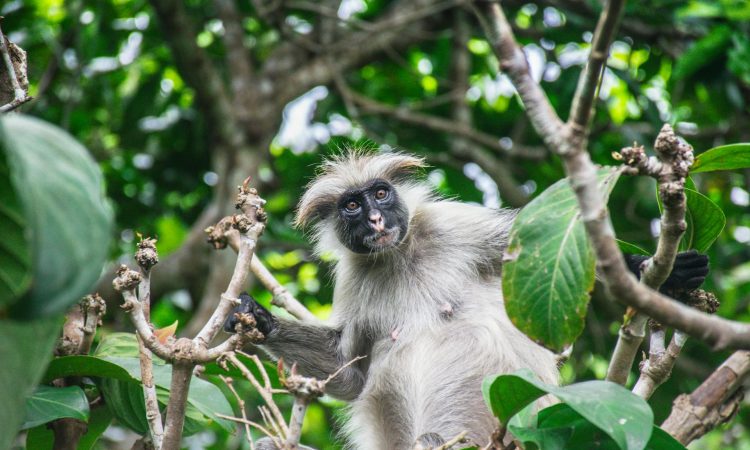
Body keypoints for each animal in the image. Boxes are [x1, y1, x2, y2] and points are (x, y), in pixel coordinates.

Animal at [225, 151, 709, 449]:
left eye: (380, 194)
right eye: (352, 206)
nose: (376, 218)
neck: (399, 255)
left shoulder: (454, 225)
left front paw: (657, 275)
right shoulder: (354, 275)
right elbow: (349, 375)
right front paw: (256, 317)